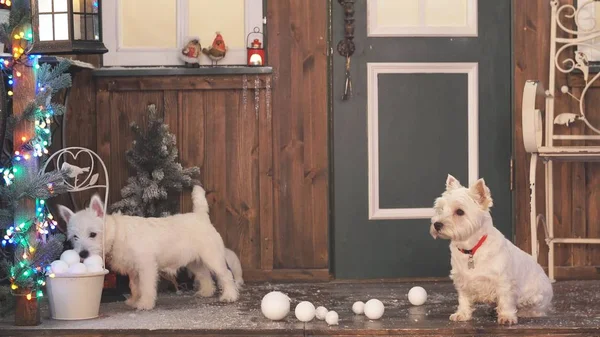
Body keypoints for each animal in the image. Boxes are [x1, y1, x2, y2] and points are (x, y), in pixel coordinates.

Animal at [58, 185, 239, 308]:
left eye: (93, 234)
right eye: (75, 237)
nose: (82, 254)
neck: (118, 234)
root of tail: (200, 216)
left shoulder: (146, 267)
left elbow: (145, 286)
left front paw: (144, 303)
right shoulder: (133, 271)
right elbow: (134, 286)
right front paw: (134, 300)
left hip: (212, 257)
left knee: (225, 275)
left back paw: (229, 295)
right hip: (194, 261)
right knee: (204, 275)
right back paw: (206, 292)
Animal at [428, 175, 552, 324]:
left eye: (459, 212)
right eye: (440, 209)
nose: (437, 224)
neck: (471, 249)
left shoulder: (503, 281)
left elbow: (505, 299)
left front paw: (507, 316)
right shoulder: (462, 280)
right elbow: (463, 299)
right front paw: (462, 314)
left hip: (535, 297)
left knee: (536, 308)